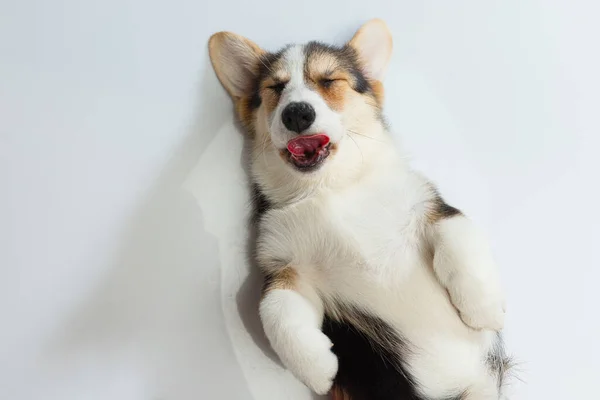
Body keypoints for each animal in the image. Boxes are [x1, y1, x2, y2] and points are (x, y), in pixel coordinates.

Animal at [207, 18, 510, 400]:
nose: (297, 113)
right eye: (276, 87)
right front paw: (319, 369)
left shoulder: (430, 207)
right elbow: (274, 309)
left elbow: (461, 238)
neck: (331, 186)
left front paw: (484, 309)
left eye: (329, 81)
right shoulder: (284, 264)